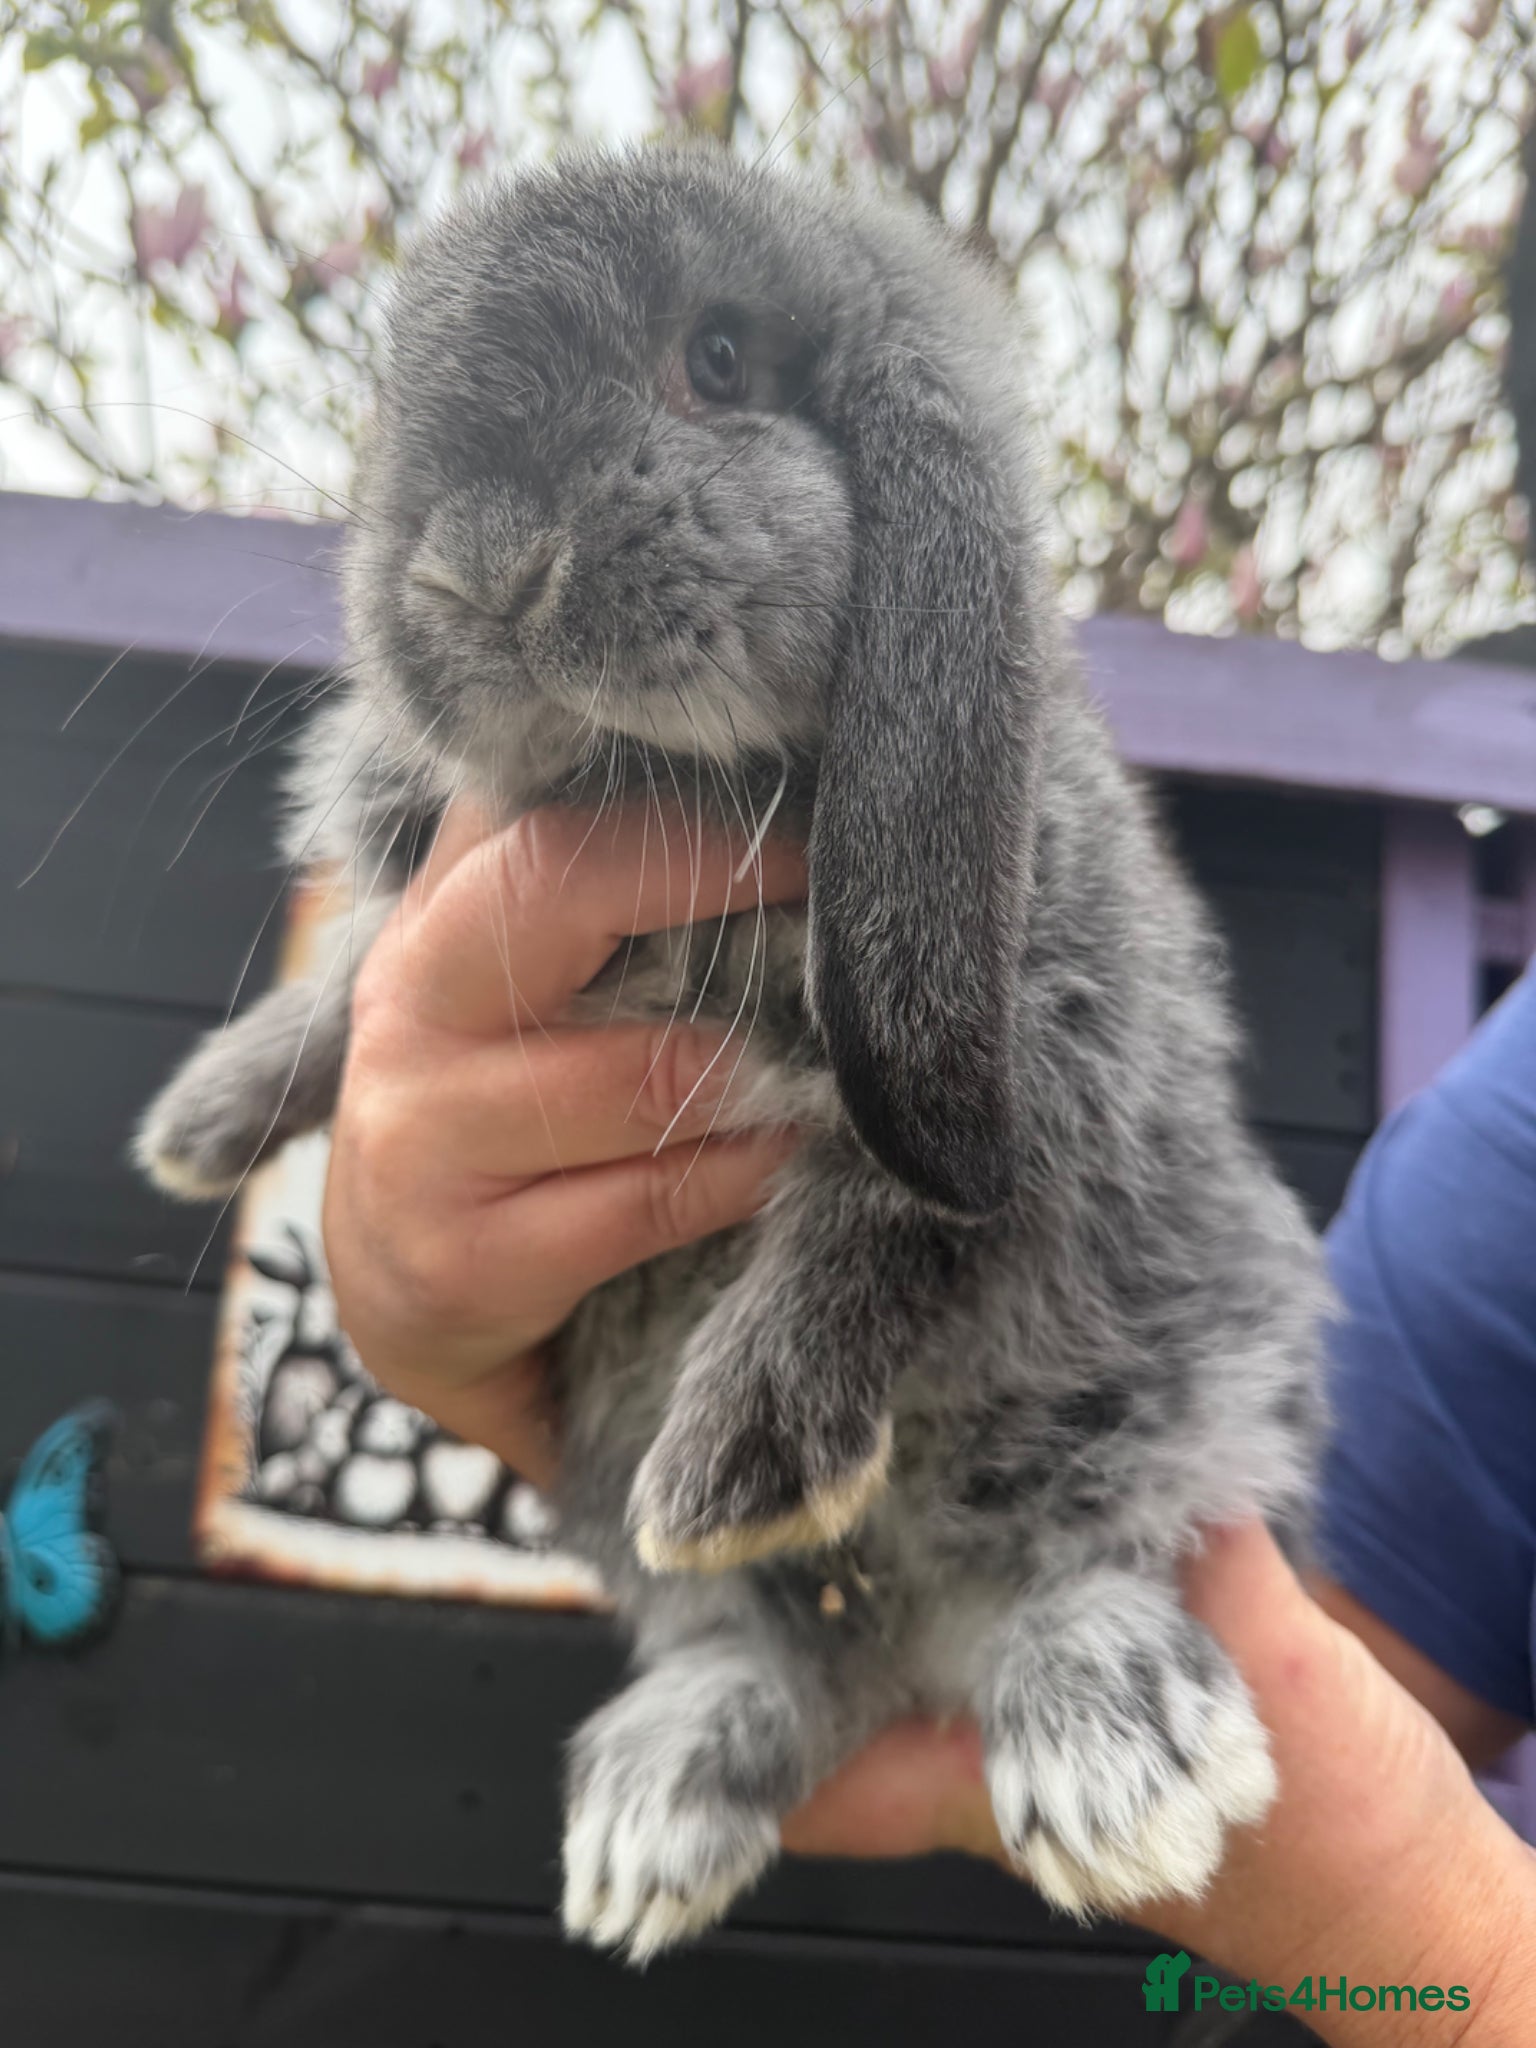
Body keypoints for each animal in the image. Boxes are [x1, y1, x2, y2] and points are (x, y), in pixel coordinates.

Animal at [137, 144, 1330, 1961]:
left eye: (715, 360)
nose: (478, 571)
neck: (652, 776)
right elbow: (346, 988)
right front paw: (201, 1120)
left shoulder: (1030, 1044)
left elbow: (880, 1223)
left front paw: (726, 1472)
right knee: (773, 1662)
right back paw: (659, 1813)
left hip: (1160, 1383)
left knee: (1072, 1565)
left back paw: (1118, 1752)